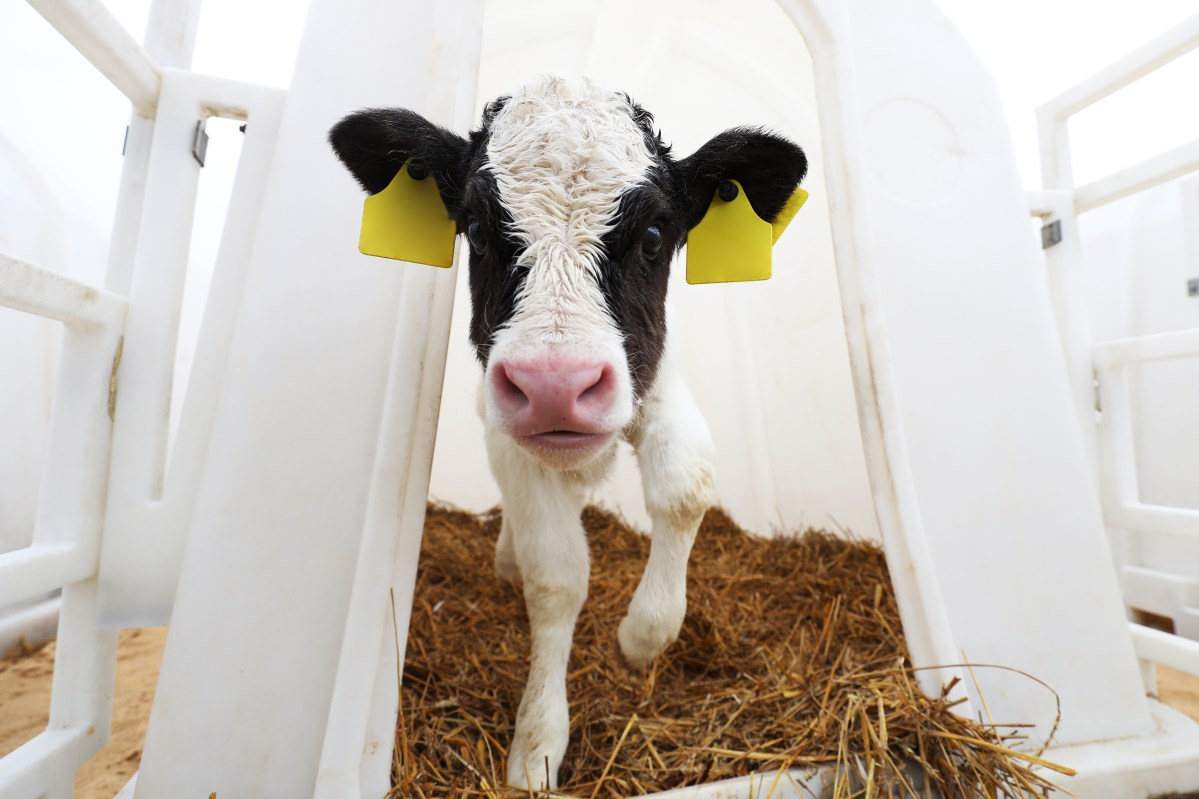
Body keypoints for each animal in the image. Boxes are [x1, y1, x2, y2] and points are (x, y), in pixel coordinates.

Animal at [329, 75, 807, 790]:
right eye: (476, 228)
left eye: (655, 234)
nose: (556, 383)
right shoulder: (510, 436)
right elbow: (556, 574)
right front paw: (538, 746)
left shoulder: (654, 381)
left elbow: (685, 484)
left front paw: (641, 638)